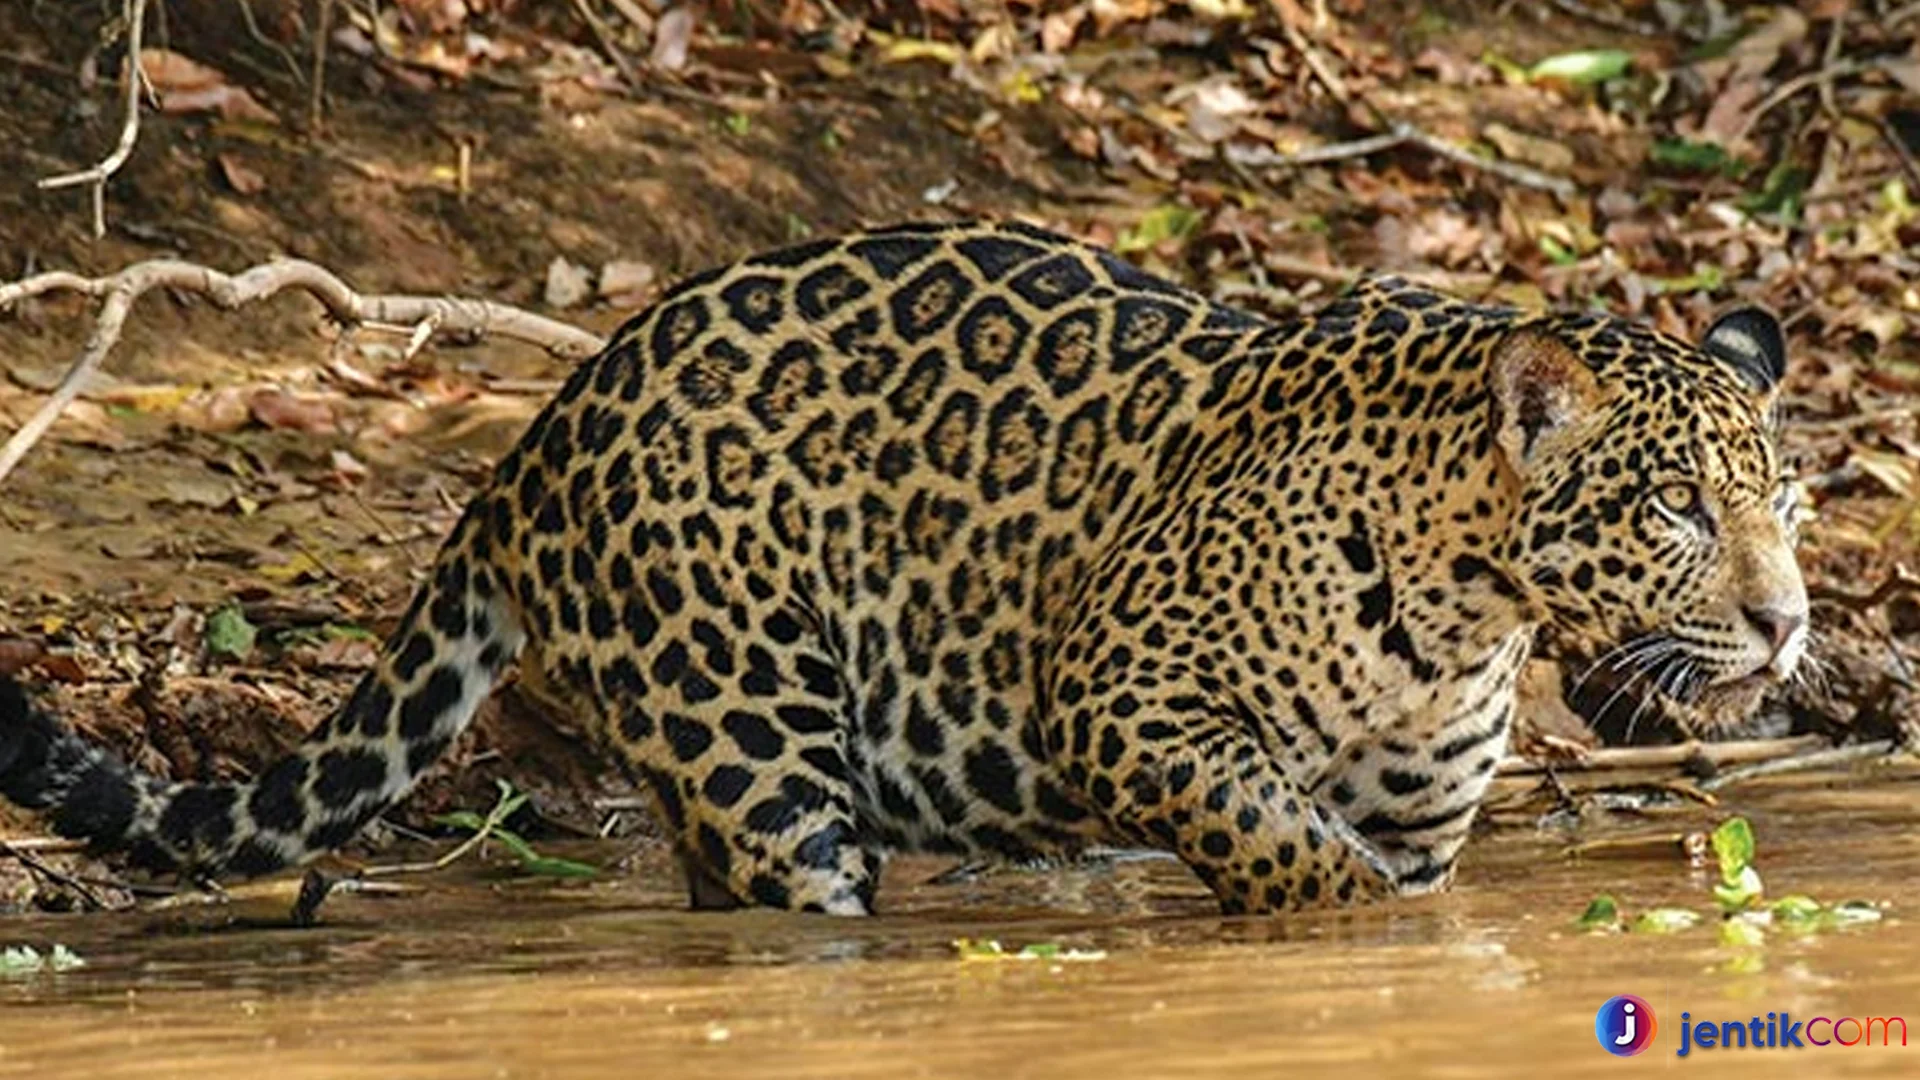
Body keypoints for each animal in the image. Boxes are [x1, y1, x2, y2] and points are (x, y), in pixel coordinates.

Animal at [0, 220, 1808, 915]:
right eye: (1675, 510)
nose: (1790, 627)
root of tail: (540, 437)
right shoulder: (1122, 704)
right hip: (753, 730)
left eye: (1782, 498)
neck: (1464, 603)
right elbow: (1310, 872)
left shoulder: (1423, 815)